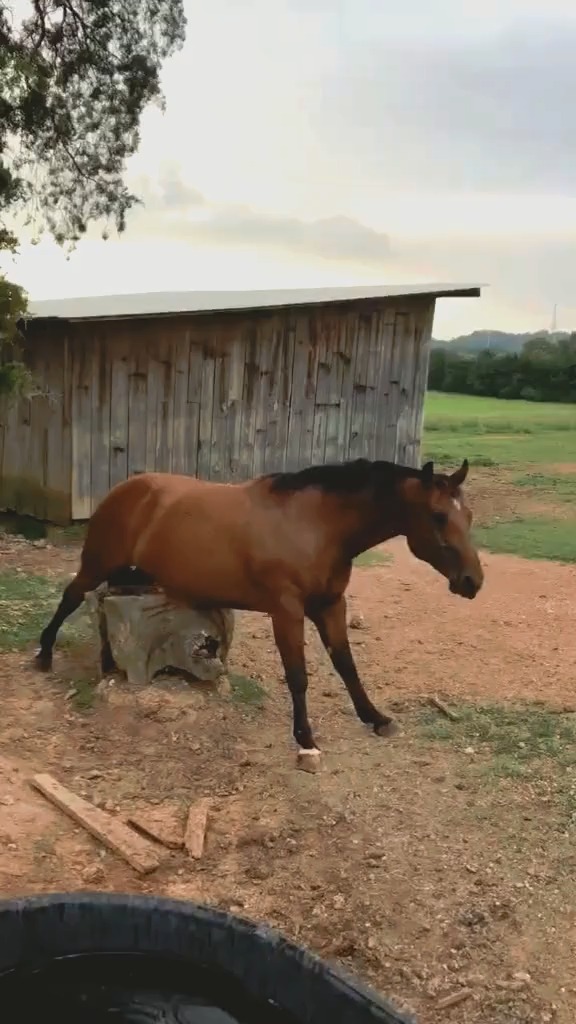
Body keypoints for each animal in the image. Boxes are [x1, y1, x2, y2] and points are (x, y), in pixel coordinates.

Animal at [34, 456, 479, 770]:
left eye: (469, 515)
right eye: (439, 516)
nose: (473, 581)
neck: (314, 524)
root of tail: (125, 488)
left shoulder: (331, 605)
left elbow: (346, 664)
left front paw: (375, 717)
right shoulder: (286, 610)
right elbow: (298, 676)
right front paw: (306, 742)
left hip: (131, 574)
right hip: (98, 563)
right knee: (72, 598)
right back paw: (43, 654)